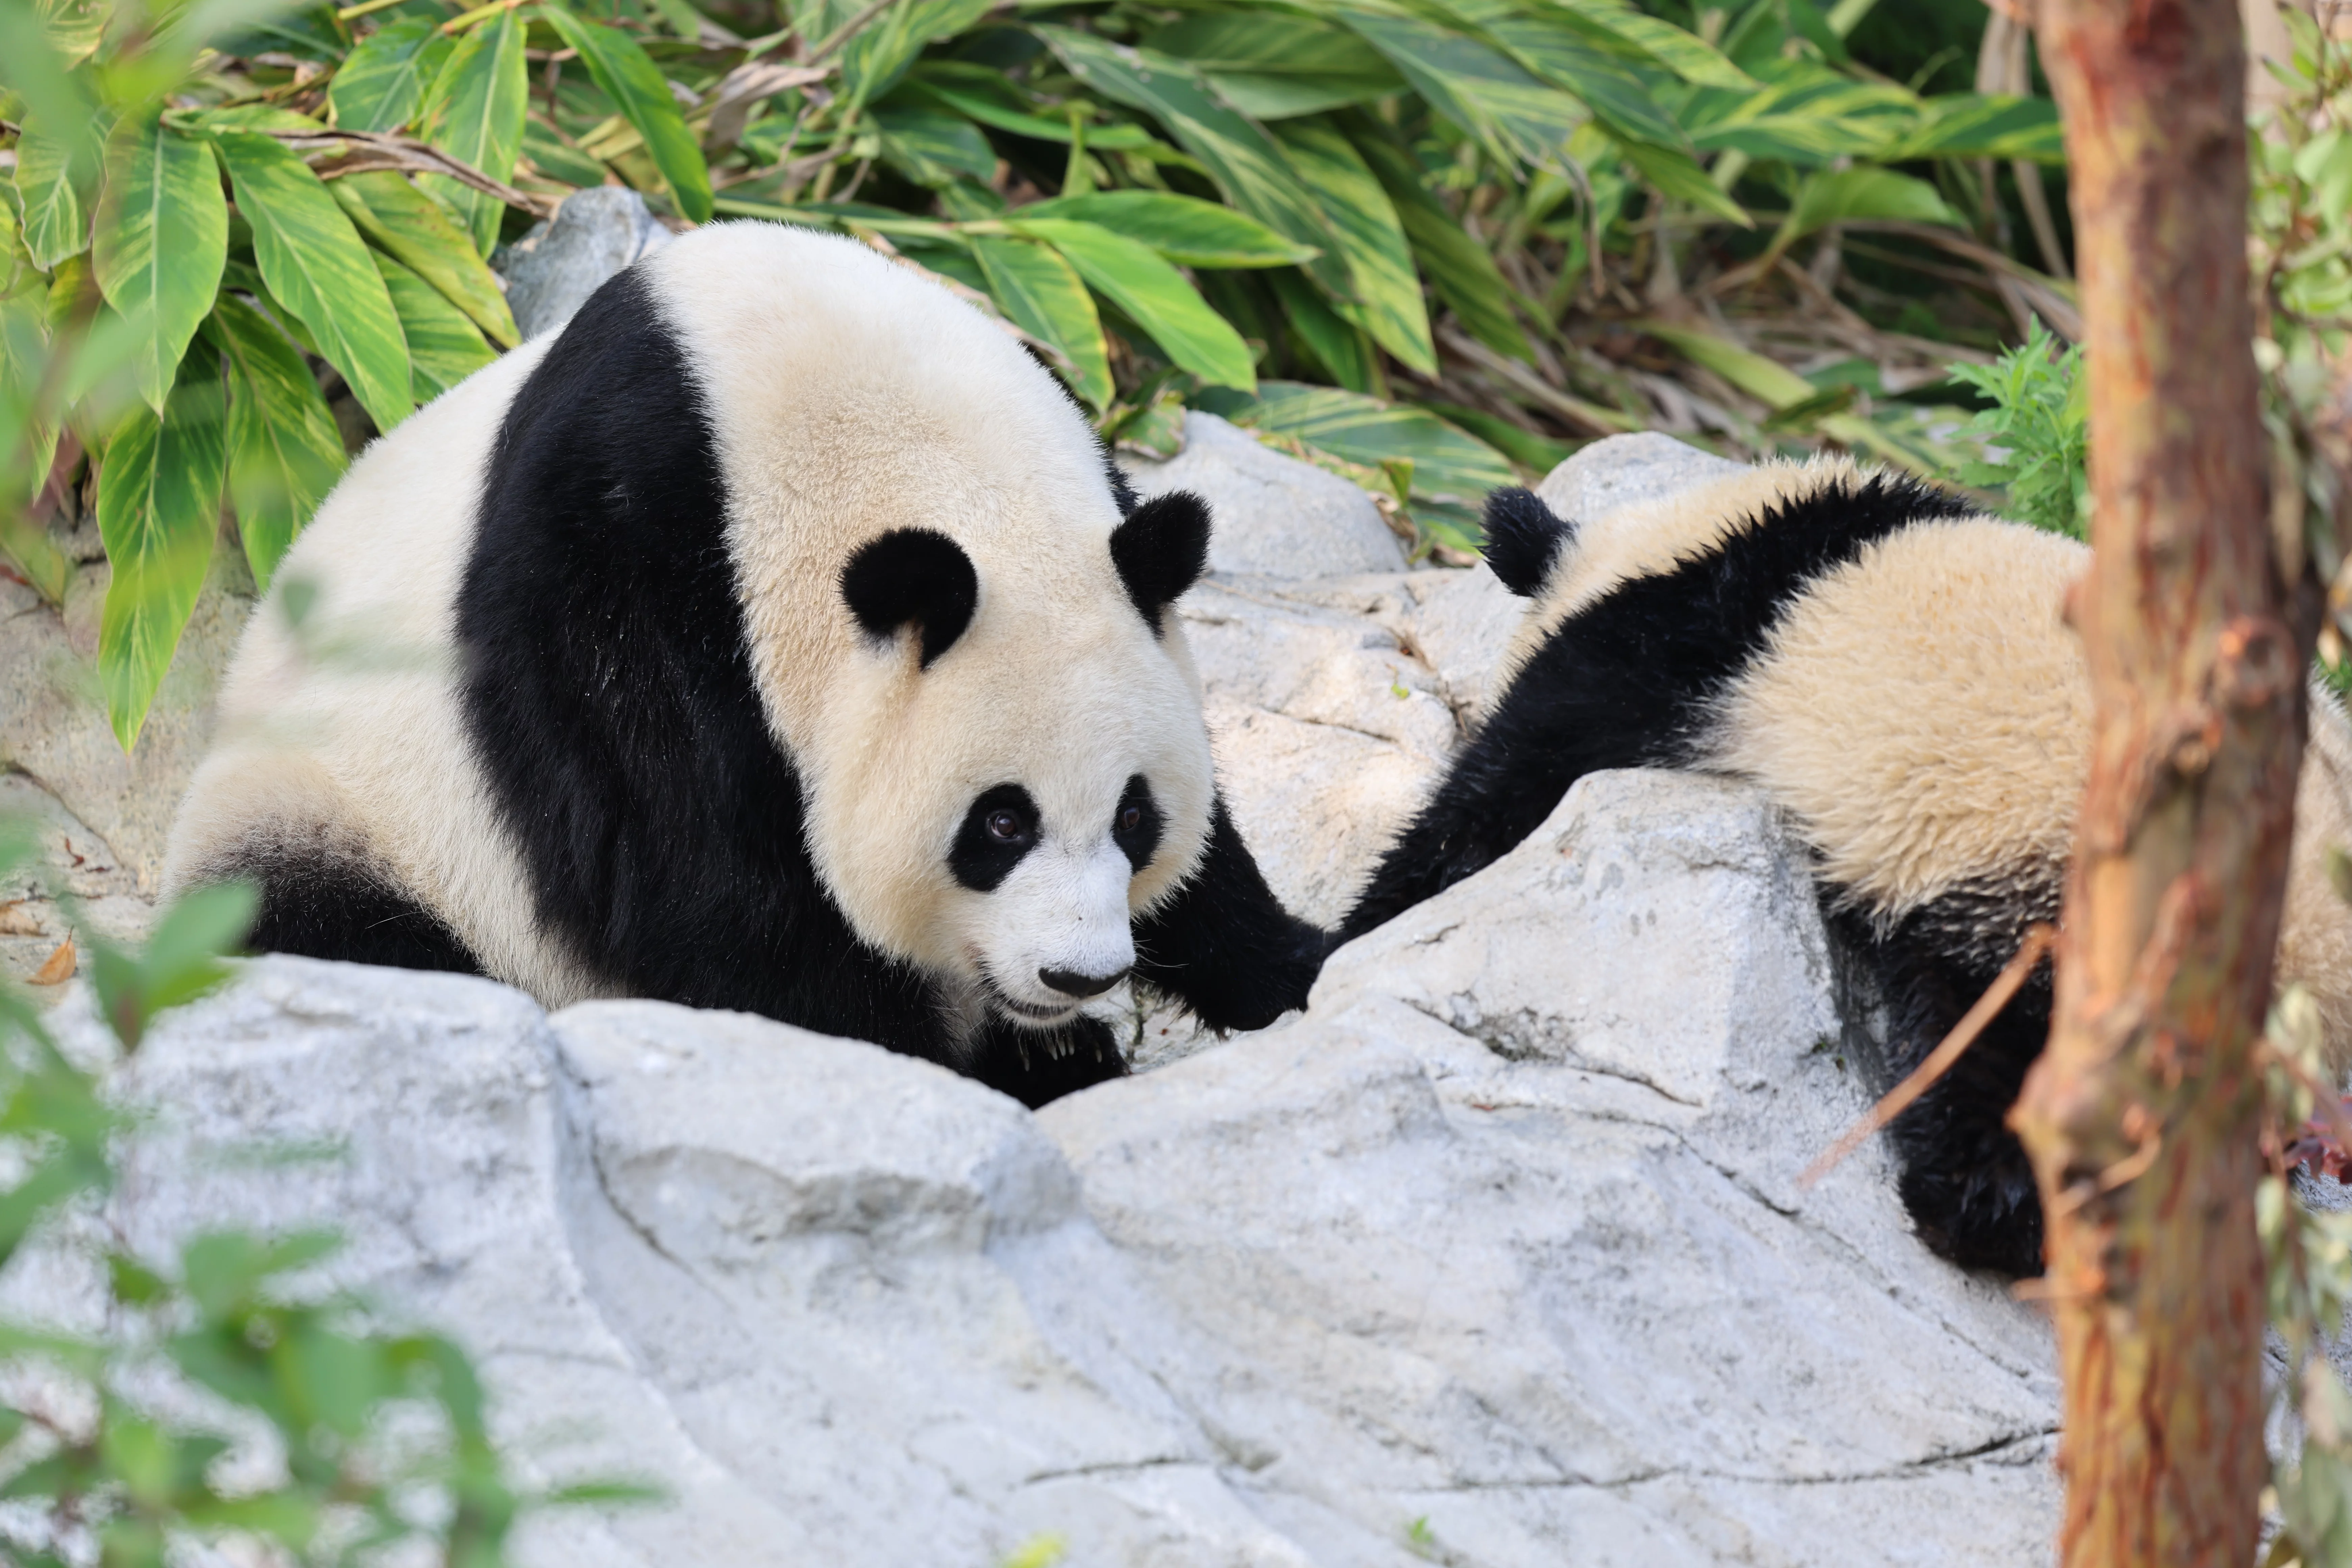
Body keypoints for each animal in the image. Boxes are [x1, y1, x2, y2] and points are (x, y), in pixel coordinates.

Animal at [164, 221, 1325, 1108]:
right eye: (1001, 824)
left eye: (1135, 816)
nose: (1077, 975)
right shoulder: (619, 572)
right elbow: (701, 892)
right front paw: (930, 1072)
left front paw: (1289, 965)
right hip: (346, 817)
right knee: (347, 941)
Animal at [1338, 454, 2352, 1276]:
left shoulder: (1676, 647)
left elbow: (1504, 787)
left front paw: (1340, 943)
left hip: (2064, 896)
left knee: (1993, 1043)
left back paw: (1976, 1207)